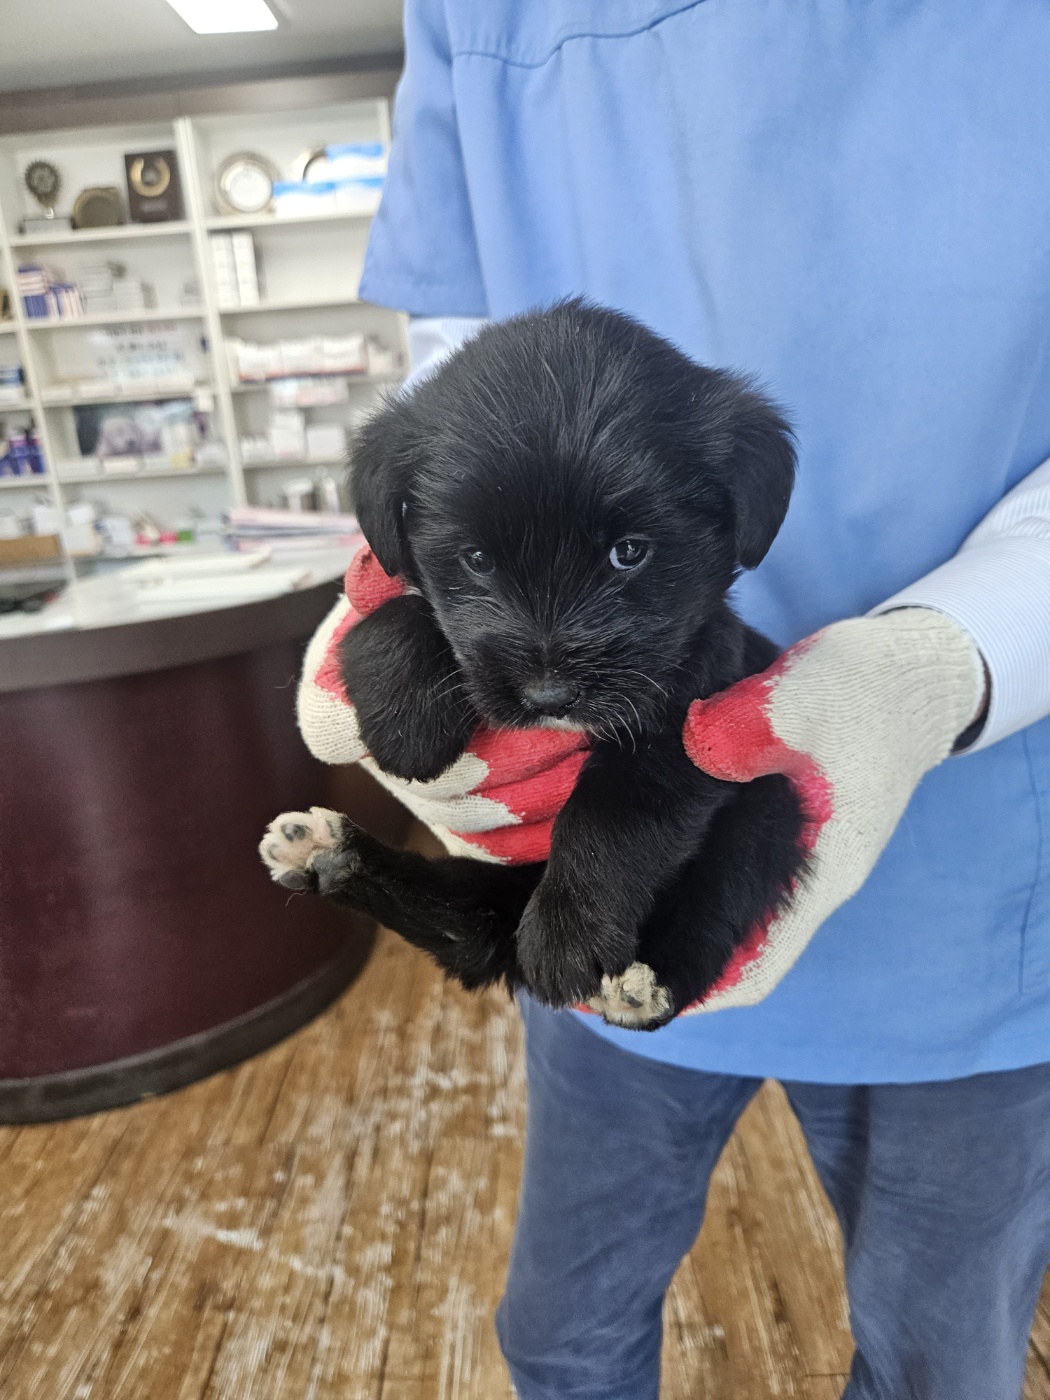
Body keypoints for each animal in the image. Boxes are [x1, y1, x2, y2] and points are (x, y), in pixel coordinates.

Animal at [261, 303, 806, 1030]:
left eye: (629, 552)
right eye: (476, 559)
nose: (550, 695)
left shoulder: (687, 723)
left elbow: (610, 813)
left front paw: (568, 933)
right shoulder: (378, 586)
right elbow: (395, 611)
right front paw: (405, 719)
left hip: (767, 807)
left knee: (719, 896)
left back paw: (646, 983)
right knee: (467, 925)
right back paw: (330, 852)